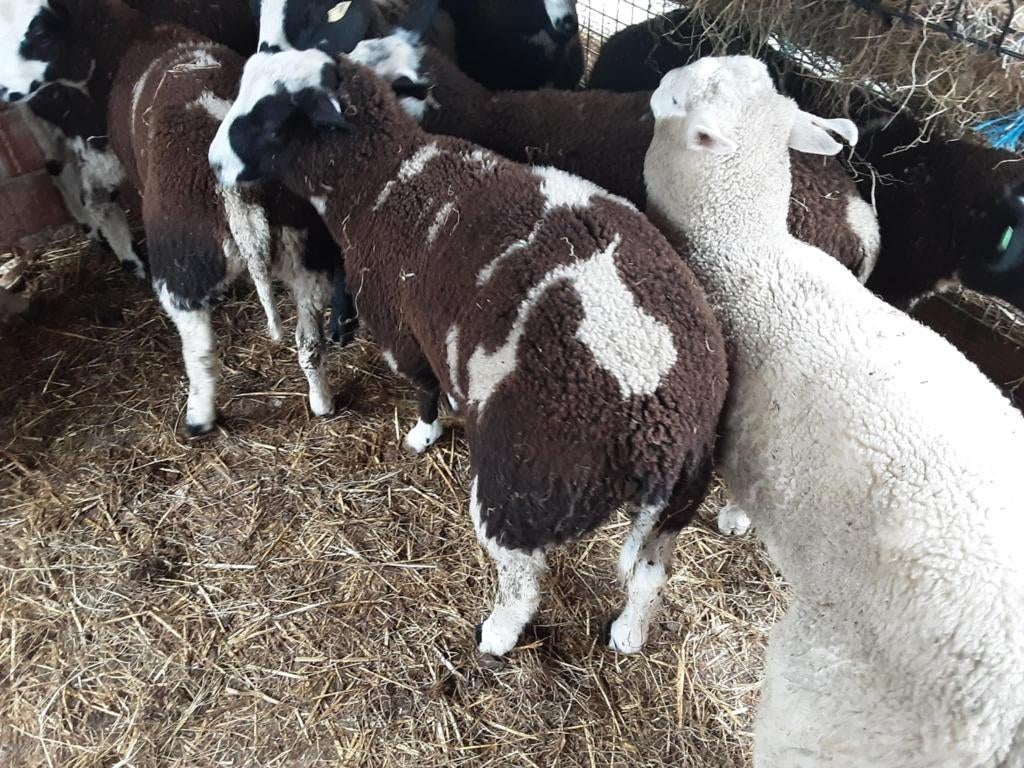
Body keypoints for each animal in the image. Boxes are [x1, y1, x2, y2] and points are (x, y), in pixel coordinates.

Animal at [1, 0, 345, 434]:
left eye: (39, 31)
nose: (5, 93)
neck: (124, 42)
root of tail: (239, 192)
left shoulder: (105, 152)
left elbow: (99, 200)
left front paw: (123, 254)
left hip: (181, 261)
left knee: (199, 347)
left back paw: (200, 416)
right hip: (308, 251)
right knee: (309, 339)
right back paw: (322, 401)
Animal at [207, 13, 728, 656]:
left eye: (270, 117)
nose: (214, 163)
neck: (385, 177)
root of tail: (658, 423)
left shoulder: (401, 326)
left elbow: (424, 387)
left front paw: (423, 435)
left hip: (525, 486)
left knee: (523, 578)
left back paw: (497, 636)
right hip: (677, 506)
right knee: (651, 573)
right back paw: (629, 633)